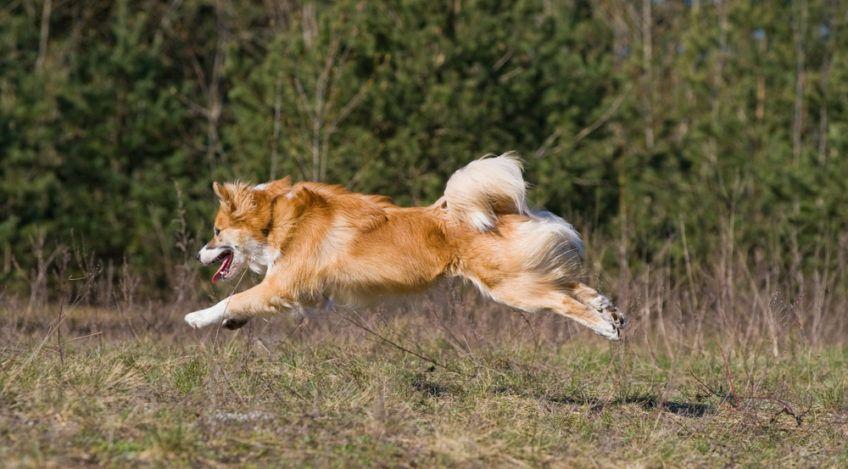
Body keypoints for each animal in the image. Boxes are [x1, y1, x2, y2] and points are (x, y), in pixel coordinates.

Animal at [184, 155, 624, 338]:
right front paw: (232, 322)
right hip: (523, 275)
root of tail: (497, 210)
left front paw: (198, 317)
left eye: (216, 232)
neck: (276, 220)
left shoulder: (284, 285)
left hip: (512, 288)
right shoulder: (307, 295)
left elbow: (235, 298)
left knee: (562, 299)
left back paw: (604, 326)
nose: (199, 253)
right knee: (572, 284)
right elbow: (246, 304)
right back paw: (610, 311)